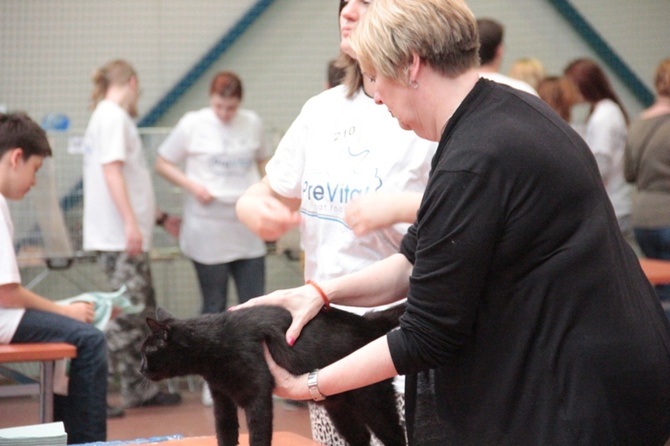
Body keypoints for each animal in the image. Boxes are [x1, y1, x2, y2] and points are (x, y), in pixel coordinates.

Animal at [139, 304, 406, 446]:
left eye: (145, 353)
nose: (139, 368)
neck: (214, 342)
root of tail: (368, 321)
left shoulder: (257, 395)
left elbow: (258, 435)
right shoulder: (222, 400)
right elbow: (225, 433)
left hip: (374, 401)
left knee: (395, 435)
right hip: (339, 407)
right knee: (361, 437)